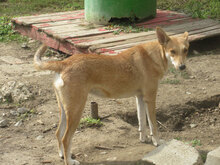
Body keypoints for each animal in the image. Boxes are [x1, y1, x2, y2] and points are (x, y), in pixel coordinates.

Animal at [34, 27, 189, 165]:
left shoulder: (140, 98)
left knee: (58, 133)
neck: (156, 55)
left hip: (65, 111)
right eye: (172, 51)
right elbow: (153, 125)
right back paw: (69, 161)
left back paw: (61, 155)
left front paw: (143, 139)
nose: (182, 67)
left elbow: (142, 122)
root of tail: (63, 62)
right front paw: (157, 142)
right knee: (66, 139)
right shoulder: (150, 99)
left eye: (185, 50)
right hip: (76, 112)